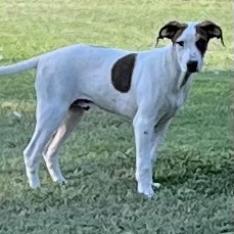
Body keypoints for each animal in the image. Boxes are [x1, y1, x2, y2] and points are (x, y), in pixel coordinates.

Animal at [0, 21, 223, 197]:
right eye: (180, 43)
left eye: (201, 42)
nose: (192, 64)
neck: (170, 69)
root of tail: (45, 57)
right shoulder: (143, 123)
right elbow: (143, 161)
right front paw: (145, 190)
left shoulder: (161, 125)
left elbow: (150, 157)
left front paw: (150, 183)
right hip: (51, 113)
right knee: (31, 152)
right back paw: (36, 187)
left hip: (71, 115)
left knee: (50, 151)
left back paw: (60, 182)